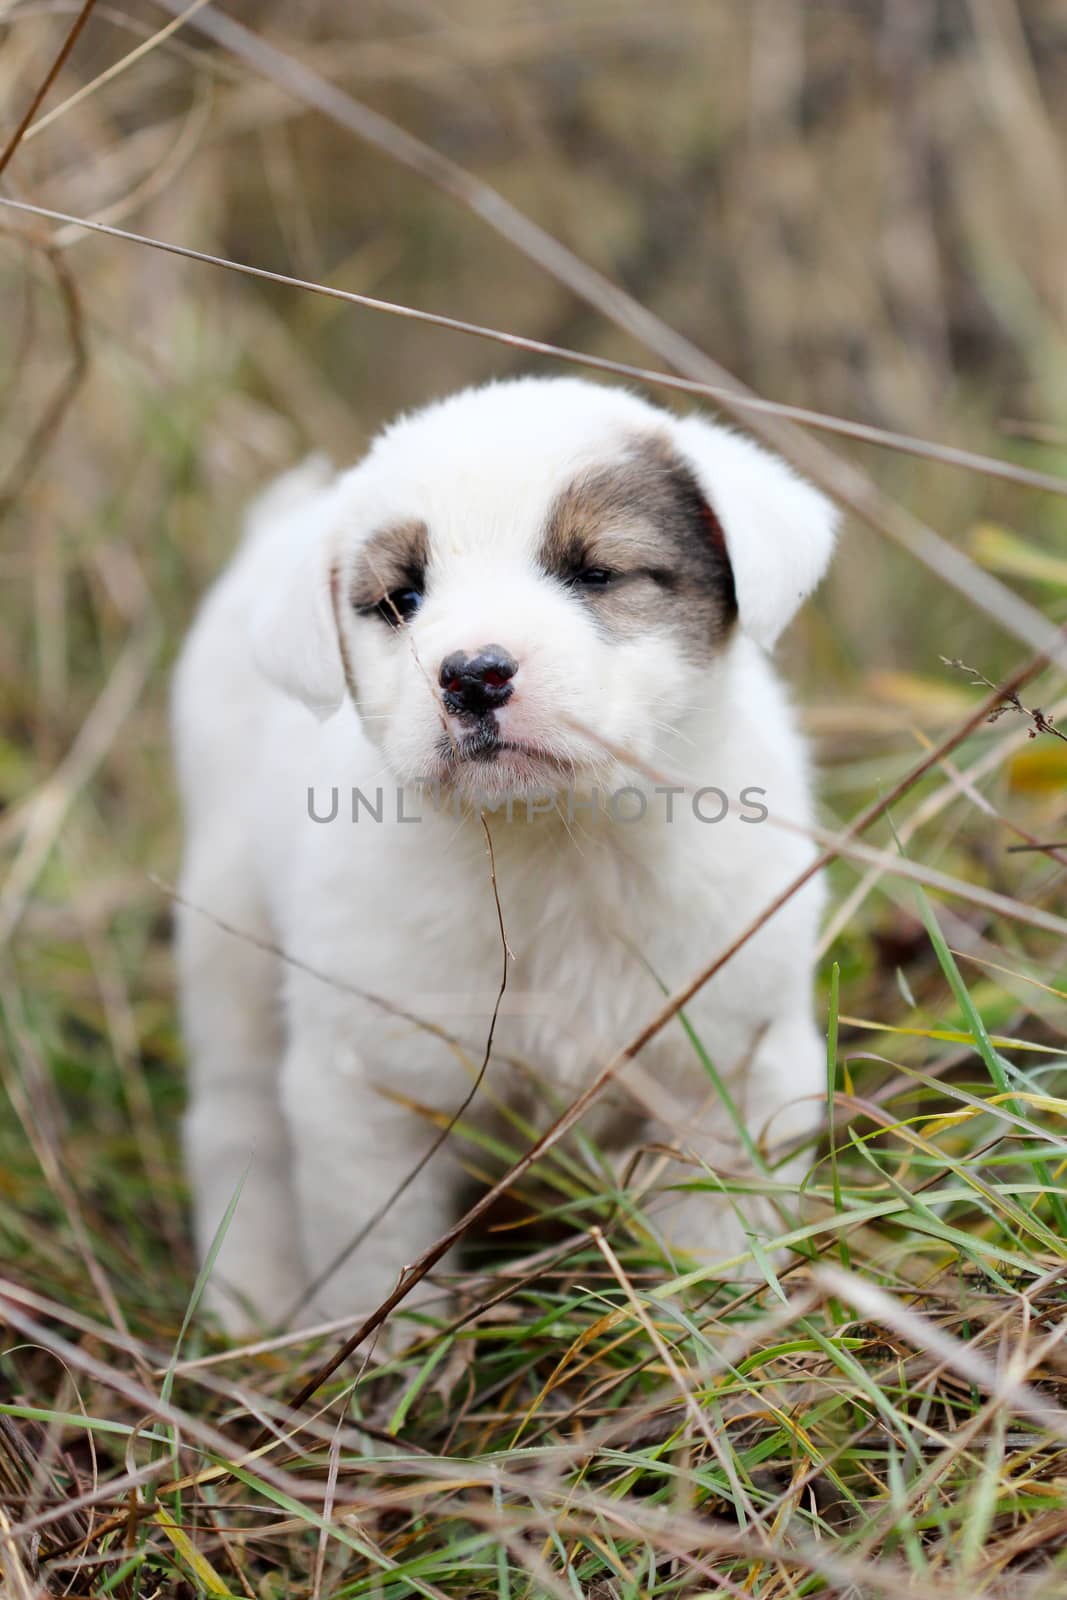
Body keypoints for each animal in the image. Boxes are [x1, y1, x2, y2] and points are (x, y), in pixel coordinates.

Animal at [175, 377, 838, 1337]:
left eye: (594, 572)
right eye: (399, 600)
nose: (472, 675)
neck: (553, 844)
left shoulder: (733, 1068)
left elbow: (720, 1229)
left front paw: (722, 1335)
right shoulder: (366, 1100)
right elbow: (375, 1268)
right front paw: (386, 1365)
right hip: (227, 941)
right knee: (233, 1122)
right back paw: (249, 1299)